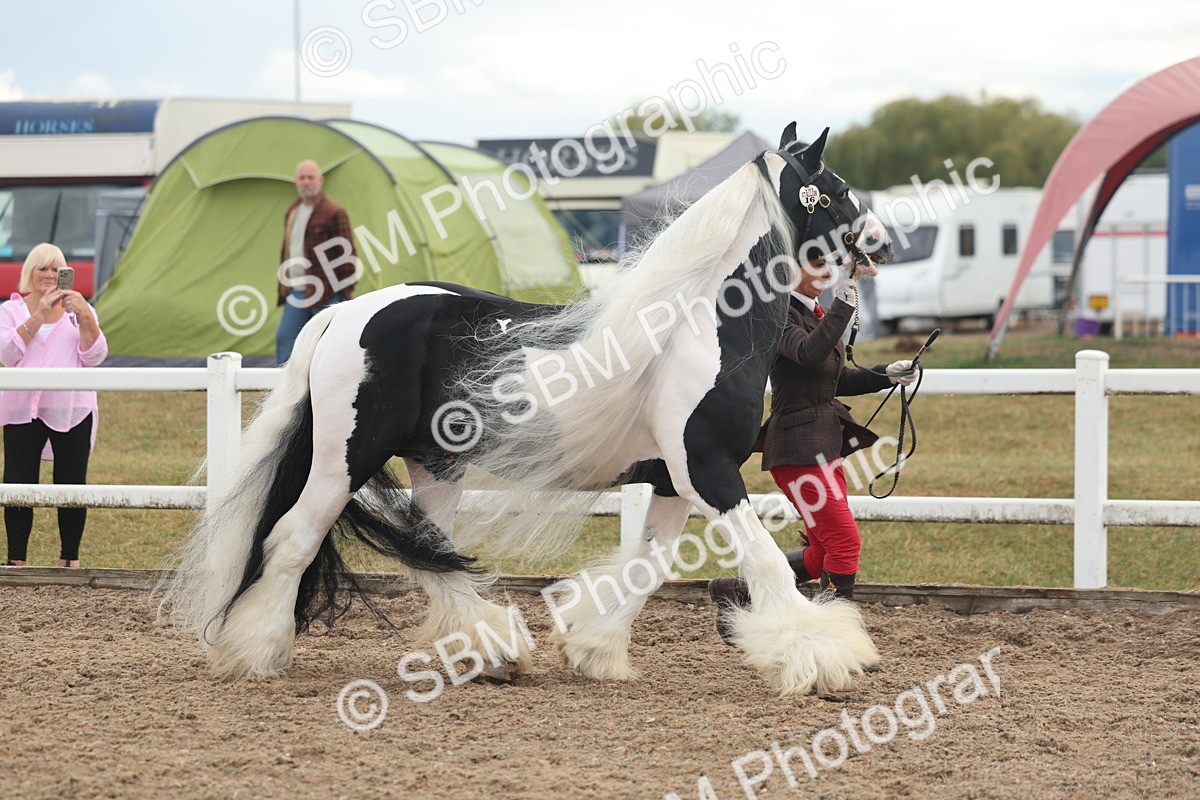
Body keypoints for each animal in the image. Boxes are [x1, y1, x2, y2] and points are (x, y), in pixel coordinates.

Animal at [161, 123, 894, 697]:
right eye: (835, 188)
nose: (884, 241)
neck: (698, 326)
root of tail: (345, 313)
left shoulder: (670, 481)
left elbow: (648, 567)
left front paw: (593, 648)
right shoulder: (708, 471)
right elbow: (764, 561)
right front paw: (823, 657)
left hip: (436, 464)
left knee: (430, 553)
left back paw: (494, 653)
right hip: (346, 458)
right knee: (293, 539)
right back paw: (257, 653)